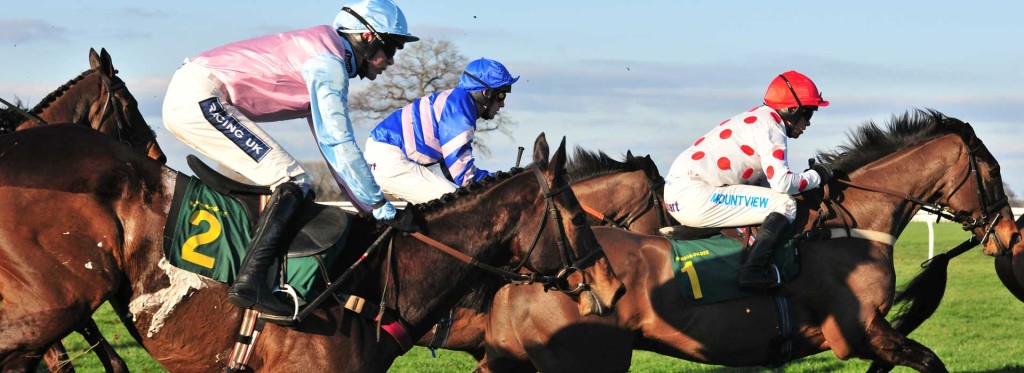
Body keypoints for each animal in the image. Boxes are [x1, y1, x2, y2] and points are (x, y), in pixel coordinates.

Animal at [477, 108, 1015, 373]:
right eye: (992, 171)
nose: (1009, 235)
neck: (853, 225)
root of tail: (522, 272)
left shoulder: (870, 336)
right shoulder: (859, 331)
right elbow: (930, 361)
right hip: (588, 358)